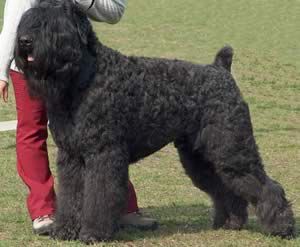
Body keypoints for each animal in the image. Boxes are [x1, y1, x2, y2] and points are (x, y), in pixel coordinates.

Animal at [15, 0, 294, 243]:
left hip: (232, 147)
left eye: (53, 24)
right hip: (200, 156)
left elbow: (98, 196)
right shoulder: (72, 157)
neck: (84, 78)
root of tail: (221, 69)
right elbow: (71, 196)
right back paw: (231, 222)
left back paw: (282, 227)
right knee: (225, 186)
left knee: (266, 186)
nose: (24, 41)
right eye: (27, 20)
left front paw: (93, 233)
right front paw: (65, 230)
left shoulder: (102, 155)